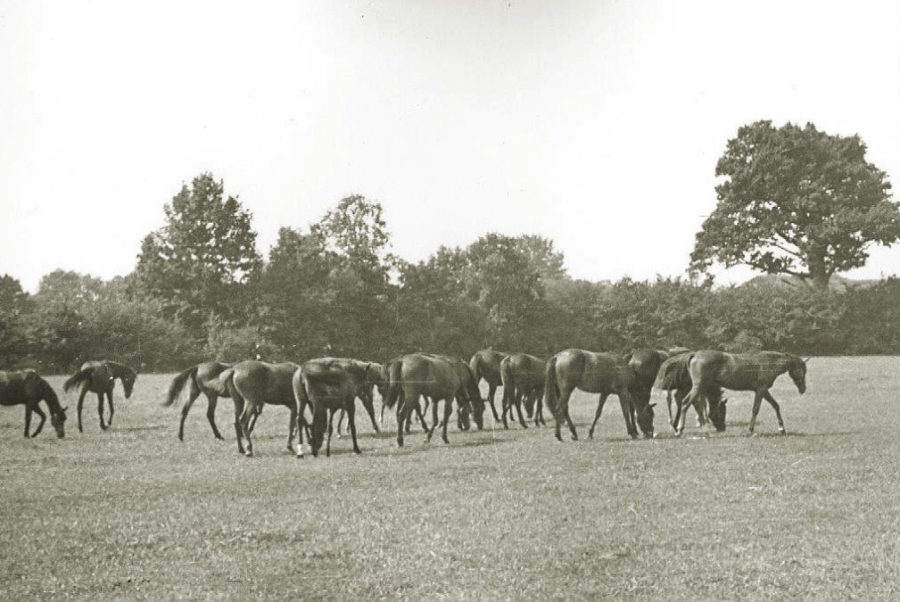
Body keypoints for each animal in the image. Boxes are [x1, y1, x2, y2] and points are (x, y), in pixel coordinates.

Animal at [676, 350, 808, 434]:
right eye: (802, 370)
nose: (803, 389)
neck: (769, 362)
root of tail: (695, 354)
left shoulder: (764, 390)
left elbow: (776, 405)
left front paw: (782, 429)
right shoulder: (761, 390)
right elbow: (755, 409)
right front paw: (750, 429)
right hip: (698, 387)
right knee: (685, 403)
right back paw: (679, 430)